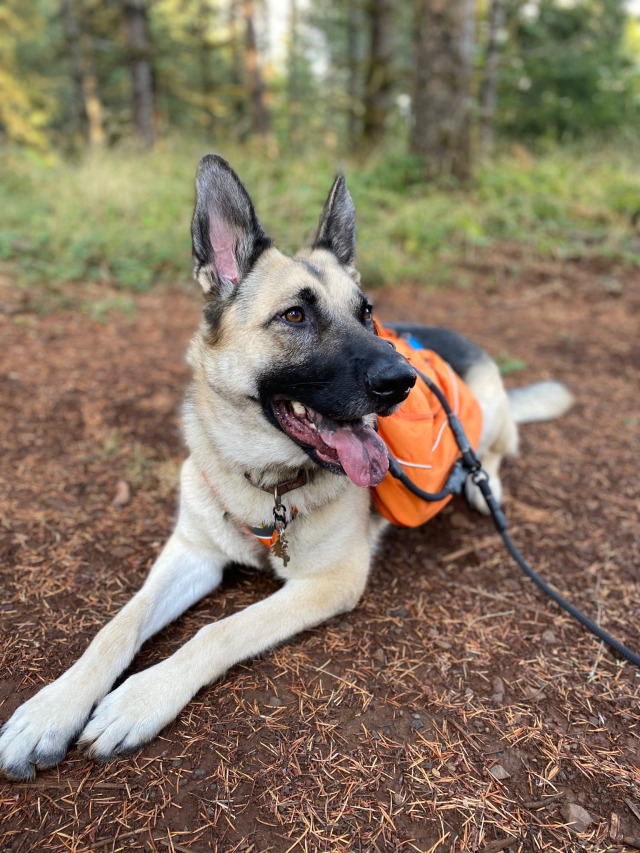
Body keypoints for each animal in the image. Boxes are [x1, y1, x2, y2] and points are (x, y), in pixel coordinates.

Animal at [0, 155, 572, 780]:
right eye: (295, 315)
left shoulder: (328, 583)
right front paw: (51, 710)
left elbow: (217, 630)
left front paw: (141, 697)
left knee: (493, 451)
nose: (403, 382)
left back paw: (477, 484)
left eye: (367, 314)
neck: (264, 484)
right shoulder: (191, 553)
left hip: (485, 414)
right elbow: (119, 625)